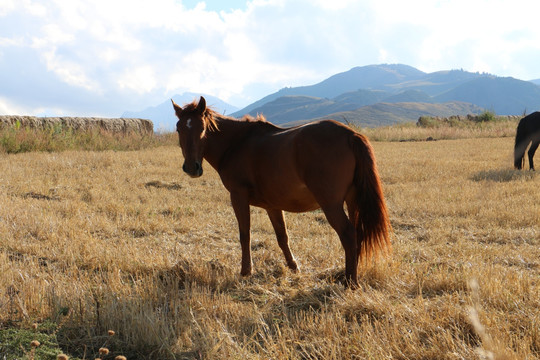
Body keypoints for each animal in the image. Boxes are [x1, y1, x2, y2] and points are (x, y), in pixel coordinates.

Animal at [173, 95, 392, 286]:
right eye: (178, 129)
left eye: (203, 128)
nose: (192, 168)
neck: (236, 143)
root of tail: (350, 135)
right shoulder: (273, 205)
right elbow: (282, 236)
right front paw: (294, 267)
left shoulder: (238, 197)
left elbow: (245, 235)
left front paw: (246, 271)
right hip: (353, 201)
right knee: (357, 234)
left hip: (331, 205)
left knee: (348, 234)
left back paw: (350, 282)